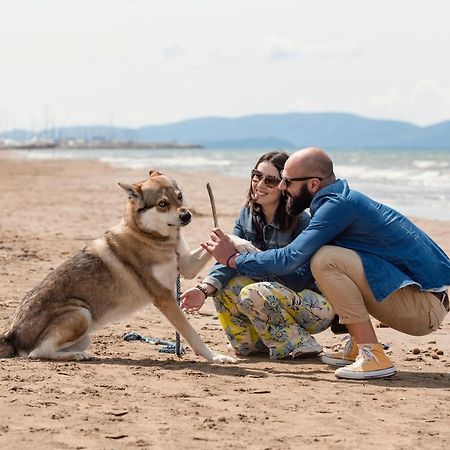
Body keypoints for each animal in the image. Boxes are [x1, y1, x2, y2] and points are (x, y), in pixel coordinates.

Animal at [0, 171, 236, 364]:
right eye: (162, 204)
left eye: (179, 196)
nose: (187, 215)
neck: (150, 237)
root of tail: (10, 334)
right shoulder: (165, 298)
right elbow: (193, 335)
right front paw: (215, 357)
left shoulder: (186, 266)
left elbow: (219, 239)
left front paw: (237, 245)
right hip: (81, 313)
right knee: (36, 353)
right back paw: (78, 356)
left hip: (85, 333)